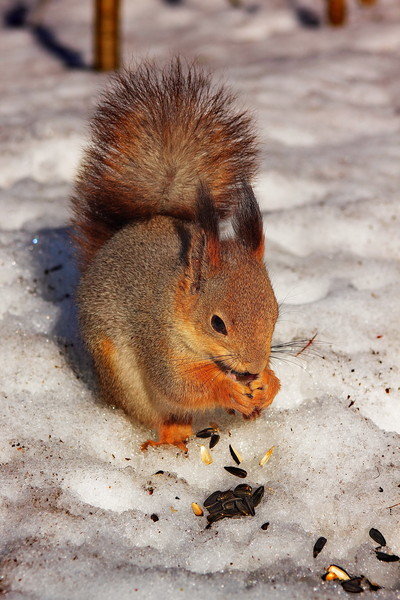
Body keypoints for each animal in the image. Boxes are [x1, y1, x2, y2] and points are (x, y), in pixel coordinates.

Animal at [70, 59, 280, 450]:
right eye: (217, 323)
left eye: (275, 316)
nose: (252, 369)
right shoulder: (157, 340)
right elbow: (179, 385)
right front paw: (227, 389)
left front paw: (269, 383)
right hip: (122, 379)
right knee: (160, 414)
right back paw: (170, 436)